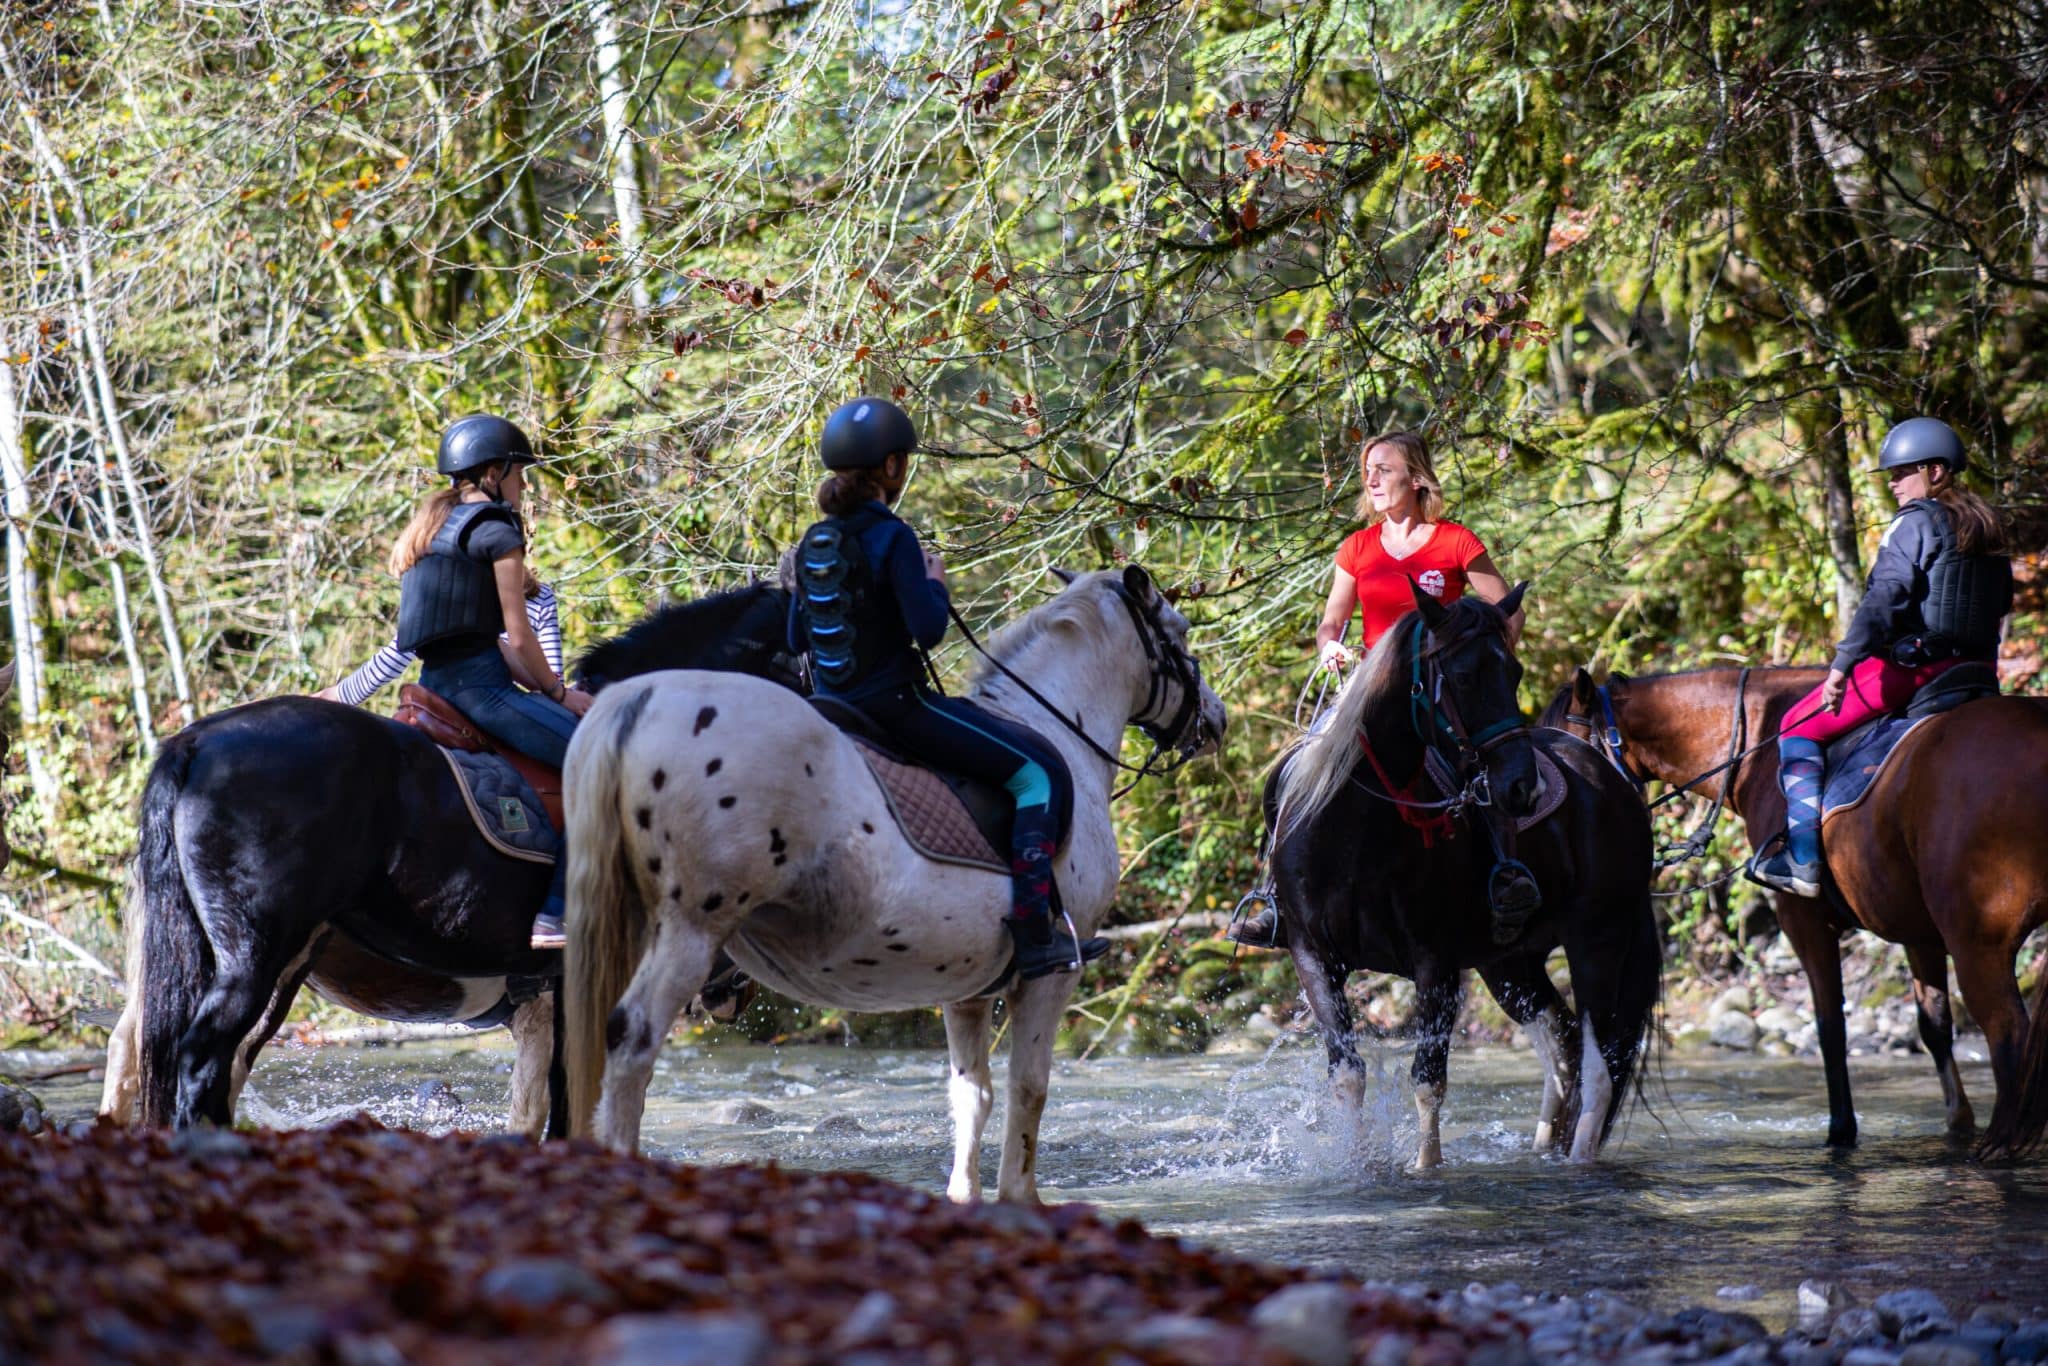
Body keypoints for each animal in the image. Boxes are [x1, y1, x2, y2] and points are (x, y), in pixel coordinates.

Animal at [561, 561, 1220, 1204]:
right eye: (1181, 632)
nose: (1215, 719)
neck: (1055, 725)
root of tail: (641, 699)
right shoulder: (1053, 975)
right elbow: (1029, 1089)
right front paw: (1019, 1198)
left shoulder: (967, 990)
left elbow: (971, 1096)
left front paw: (963, 1196)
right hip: (690, 930)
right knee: (633, 1041)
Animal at [1269, 581, 1654, 1171]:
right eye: (1466, 676)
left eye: (1514, 672)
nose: (1521, 787)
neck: (1354, 826)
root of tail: (1612, 780)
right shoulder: (1313, 956)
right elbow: (1348, 1075)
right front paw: (1357, 1166)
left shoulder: (1436, 962)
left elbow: (1428, 1080)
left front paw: (1425, 1167)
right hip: (1511, 963)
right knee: (1563, 1044)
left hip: (1598, 941)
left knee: (1598, 1069)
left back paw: (1577, 1160)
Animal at [1540, 667, 2048, 1163]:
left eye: (1569, 753)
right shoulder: (1918, 933)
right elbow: (1935, 1025)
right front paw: (1957, 1124)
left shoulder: (1803, 921)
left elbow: (1830, 1029)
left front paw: (1841, 1132)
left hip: (1977, 943)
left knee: (2008, 1035)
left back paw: (2000, 1145)